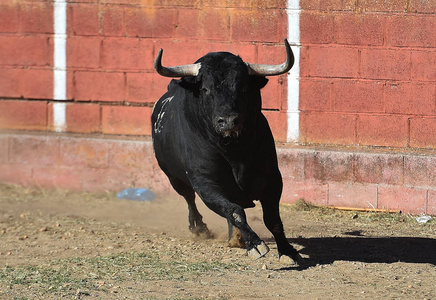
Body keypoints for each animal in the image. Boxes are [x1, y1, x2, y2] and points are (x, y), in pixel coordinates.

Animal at [152, 39, 302, 264]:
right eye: (205, 89)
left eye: (243, 88)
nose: (229, 121)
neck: (234, 151)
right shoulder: (205, 183)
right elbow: (234, 210)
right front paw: (255, 244)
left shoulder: (273, 179)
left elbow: (272, 218)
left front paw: (287, 251)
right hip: (174, 178)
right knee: (189, 198)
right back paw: (201, 228)